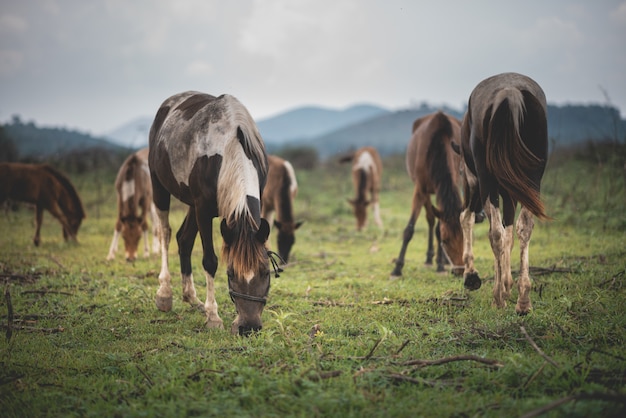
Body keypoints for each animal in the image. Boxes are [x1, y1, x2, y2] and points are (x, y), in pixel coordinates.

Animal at [147, 91, 274, 336]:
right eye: (231, 274)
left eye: (265, 272)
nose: (249, 327)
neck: (230, 150)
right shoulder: (204, 210)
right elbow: (210, 261)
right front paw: (214, 317)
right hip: (159, 187)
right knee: (165, 233)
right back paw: (165, 294)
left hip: (191, 204)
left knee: (183, 239)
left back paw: (191, 297)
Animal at [390, 112, 464, 280]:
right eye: (446, 241)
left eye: (465, 238)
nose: (459, 271)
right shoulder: (420, 190)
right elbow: (410, 230)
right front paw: (397, 268)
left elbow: (438, 228)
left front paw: (441, 265)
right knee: (430, 219)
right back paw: (430, 259)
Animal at [456, 72, 548, 314]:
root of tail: (510, 93)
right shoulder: (511, 191)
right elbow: (510, 234)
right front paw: (507, 284)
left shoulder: (475, 180)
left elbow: (468, 219)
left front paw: (473, 276)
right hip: (531, 180)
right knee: (524, 227)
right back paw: (523, 300)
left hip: (485, 181)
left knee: (494, 232)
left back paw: (498, 297)